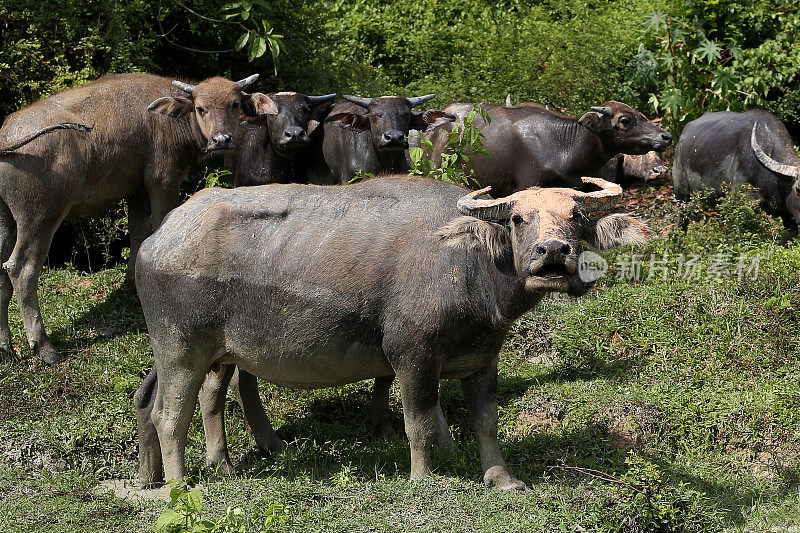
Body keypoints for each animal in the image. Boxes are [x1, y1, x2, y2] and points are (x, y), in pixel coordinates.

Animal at [0, 71, 260, 362]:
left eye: (234, 105)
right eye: (200, 108)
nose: (221, 139)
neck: (169, 118)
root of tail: (6, 137)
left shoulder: (136, 191)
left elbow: (138, 232)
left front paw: (132, 283)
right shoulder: (162, 180)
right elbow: (160, 225)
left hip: (6, 219)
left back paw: (6, 347)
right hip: (40, 216)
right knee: (21, 269)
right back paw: (43, 346)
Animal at [134, 175, 648, 490]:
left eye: (576, 217)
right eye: (519, 219)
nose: (553, 251)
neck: (468, 265)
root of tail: (158, 238)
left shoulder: (482, 359)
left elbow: (484, 420)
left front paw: (502, 478)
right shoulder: (413, 356)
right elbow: (417, 422)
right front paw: (423, 477)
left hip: (213, 353)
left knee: (189, 399)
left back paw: (191, 468)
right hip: (181, 350)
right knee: (169, 414)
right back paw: (179, 482)